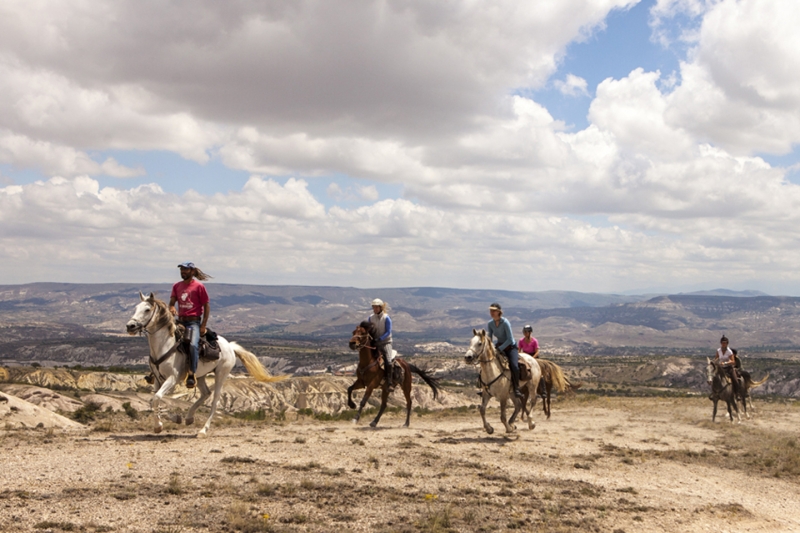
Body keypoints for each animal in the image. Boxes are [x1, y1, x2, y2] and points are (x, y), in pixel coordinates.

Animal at [126, 290, 286, 436]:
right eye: (136, 307)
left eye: (147, 309)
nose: (130, 326)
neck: (164, 345)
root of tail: (230, 346)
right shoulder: (158, 380)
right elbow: (153, 400)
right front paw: (166, 421)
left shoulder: (173, 378)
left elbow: (157, 398)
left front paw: (162, 423)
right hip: (200, 376)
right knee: (206, 393)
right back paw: (189, 417)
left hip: (221, 374)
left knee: (214, 401)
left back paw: (203, 430)